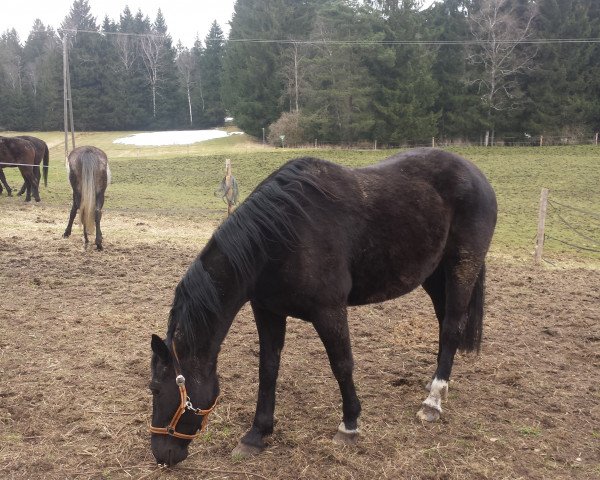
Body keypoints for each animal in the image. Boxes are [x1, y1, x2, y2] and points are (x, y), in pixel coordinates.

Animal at [149, 148, 496, 466]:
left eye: (156, 389)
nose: (162, 455)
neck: (279, 236)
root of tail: (476, 174)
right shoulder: (268, 311)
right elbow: (268, 369)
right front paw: (257, 433)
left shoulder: (329, 311)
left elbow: (341, 364)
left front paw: (349, 425)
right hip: (434, 275)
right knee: (444, 322)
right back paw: (436, 384)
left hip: (462, 266)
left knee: (452, 327)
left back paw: (433, 401)